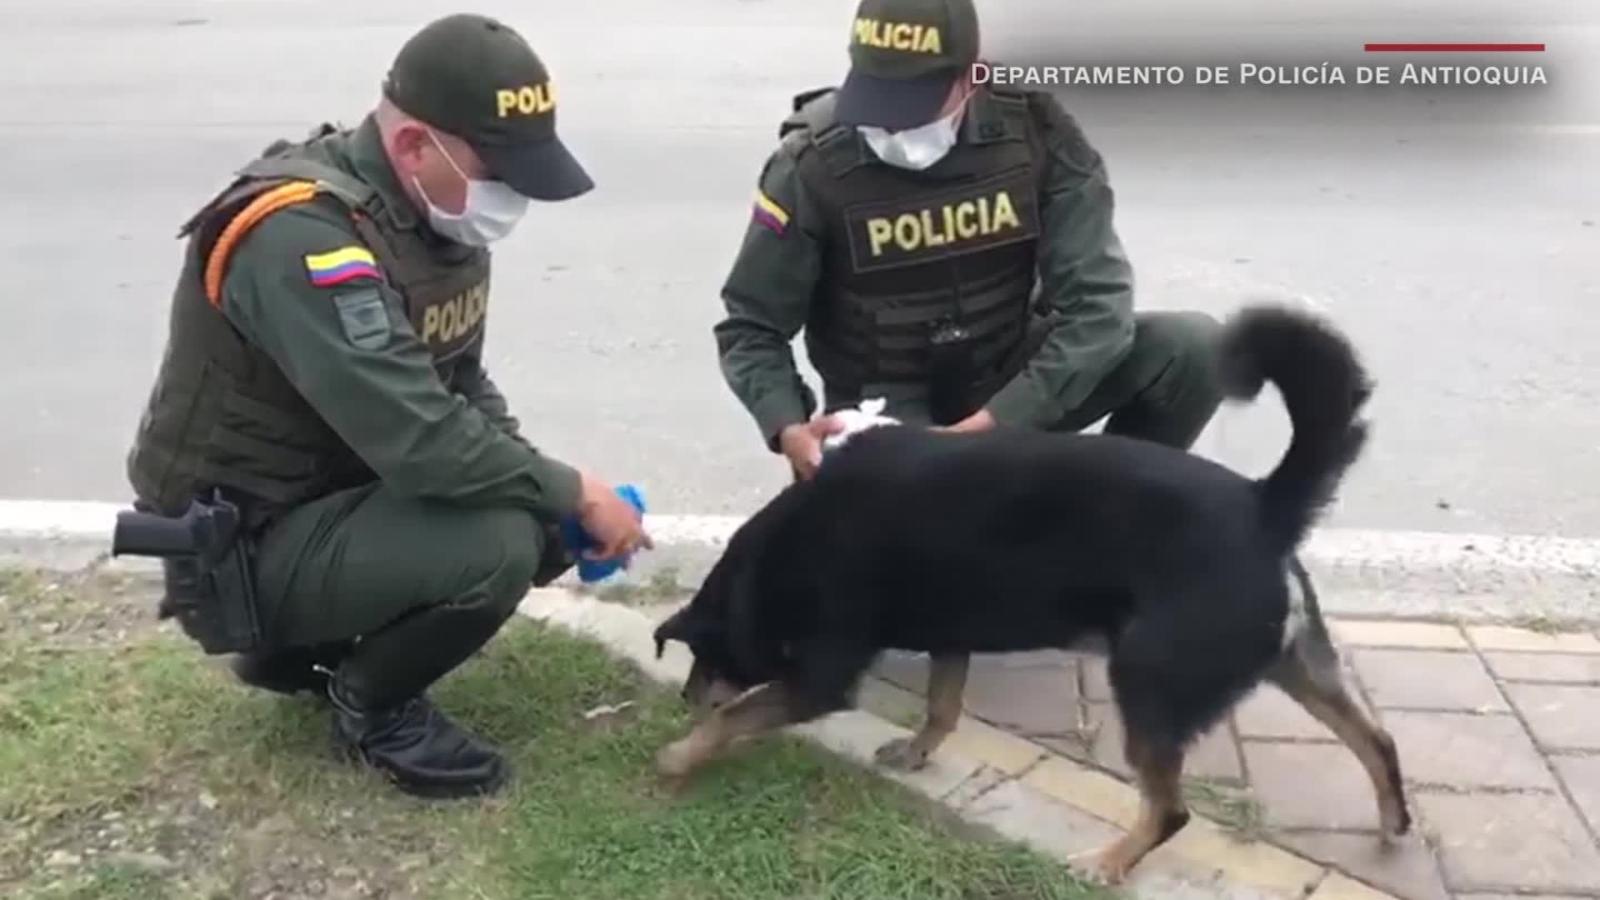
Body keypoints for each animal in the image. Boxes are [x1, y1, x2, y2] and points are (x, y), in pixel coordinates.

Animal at [656, 304, 1408, 877]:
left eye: (705, 658)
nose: (683, 699)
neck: (781, 550)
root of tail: (1264, 504)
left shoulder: (822, 675)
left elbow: (736, 716)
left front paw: (676, 756)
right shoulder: (950, 628)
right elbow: (942, 704)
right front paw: (918, 751)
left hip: (1150, 681)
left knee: (1170, 809)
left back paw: (1108, 863)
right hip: (1292, 662)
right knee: (1376, 739)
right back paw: (1393, 823)